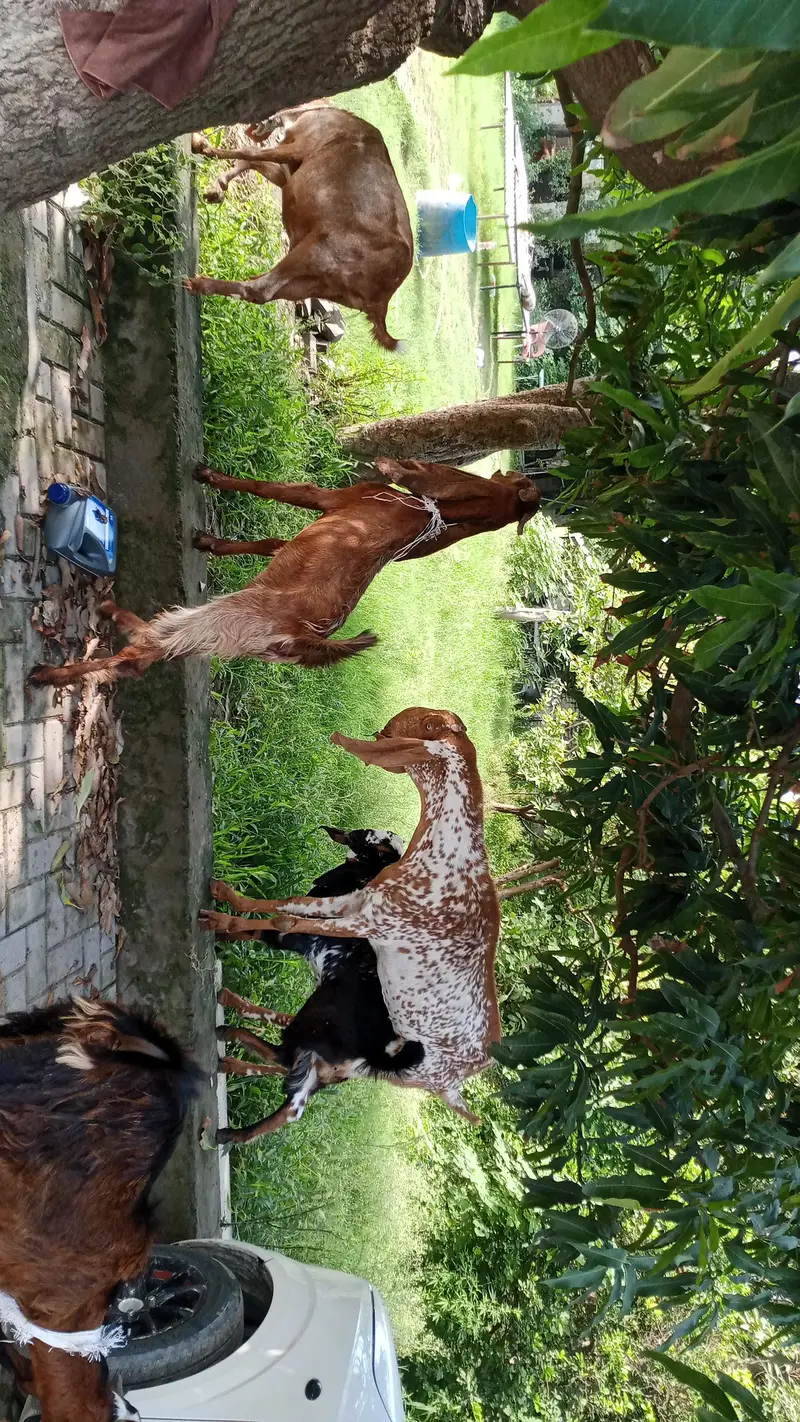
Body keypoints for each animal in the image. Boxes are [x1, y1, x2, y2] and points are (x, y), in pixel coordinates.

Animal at [29, 459, 540, 690]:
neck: (426, 514)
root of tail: (305, 637)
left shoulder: (323, 498)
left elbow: (267, 488)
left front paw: (209, 477)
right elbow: (267, 543)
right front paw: (212, 543)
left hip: (226, 615)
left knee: (144, 652)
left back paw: (54, 670)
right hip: (233, 636)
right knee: (155, 650)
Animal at [186, 104, 413, 350]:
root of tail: (383, 302)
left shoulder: (297, 148)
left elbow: (250, 153)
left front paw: (200, 145)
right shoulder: (288, 173)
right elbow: (253, 161)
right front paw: (216, 189)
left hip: (317, 252)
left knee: (261, 288)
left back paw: (198, 283)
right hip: (311, 283)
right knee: (265, 292)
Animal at [207, 826, 423, 1146]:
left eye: (369, 838)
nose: (343, 832)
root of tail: (387, 1051)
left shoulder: (293, 932)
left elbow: (263, 917)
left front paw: (221, 910)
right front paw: (222, 931)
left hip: (317, 1019)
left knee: (283, 1058)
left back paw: (230, 1031)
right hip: (326, 1060)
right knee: (293, 1103)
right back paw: (234, 1129)